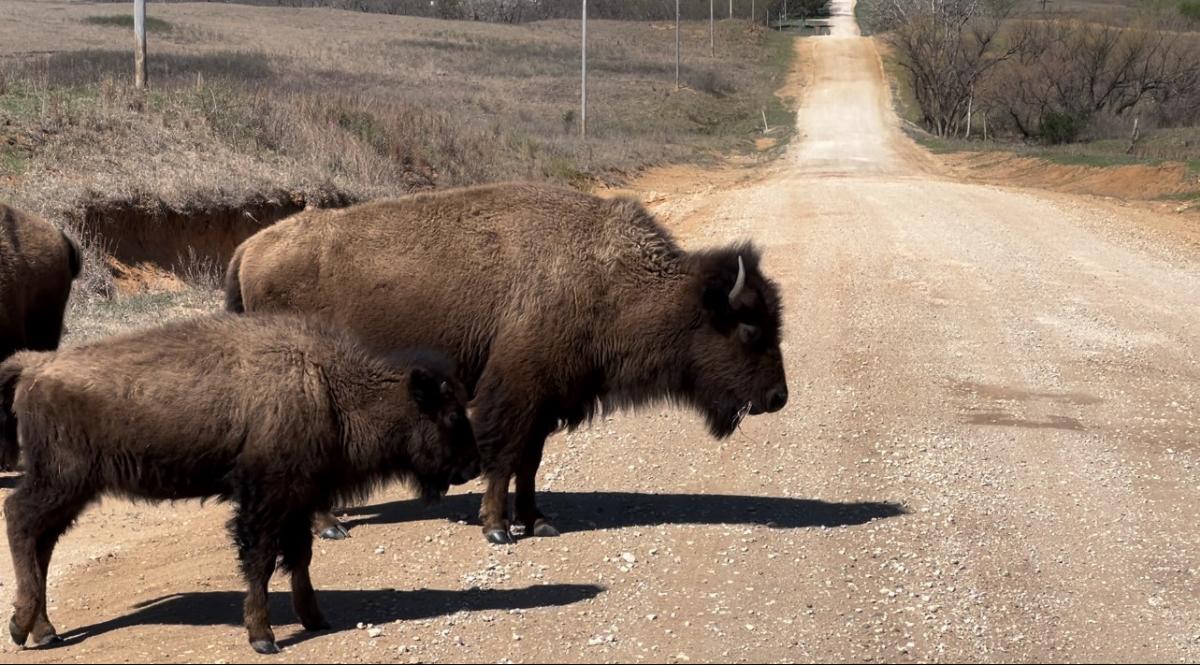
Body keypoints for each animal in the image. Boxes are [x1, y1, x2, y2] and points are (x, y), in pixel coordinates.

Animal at [1, 314, 477, 652]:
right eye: (452, 414)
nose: (471, 467)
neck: (327, 387)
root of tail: (36, 366)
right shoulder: (265, 499)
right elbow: (261, 561)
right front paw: (263, 636)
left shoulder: (297, 500)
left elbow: (299, 558)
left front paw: (315, 619)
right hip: (62, 480)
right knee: (20, 521)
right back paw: (24, 627)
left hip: (70, 490)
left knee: (41, 544)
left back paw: (45, 630)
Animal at [226, 181, 787, 542]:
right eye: (750, 328)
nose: (778, 396)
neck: (610, 278)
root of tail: (249, 247)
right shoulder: (515, 392)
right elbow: (502, 456)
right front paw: (496, 528)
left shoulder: (545, 401)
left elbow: (529, 463)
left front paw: (537, 520)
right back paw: (330, 527)